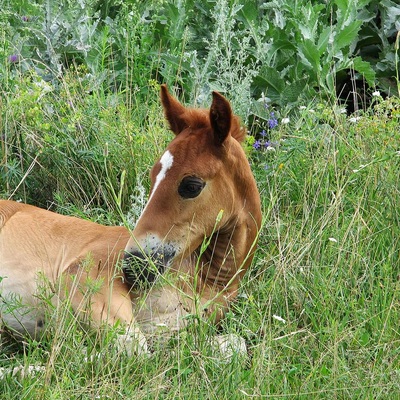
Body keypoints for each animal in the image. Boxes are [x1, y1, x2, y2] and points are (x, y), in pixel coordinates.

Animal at [0, 85, 262, 354]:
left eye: (191, 185)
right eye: (153, 175)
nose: (132, 266)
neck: (203, 280)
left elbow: (233, 344)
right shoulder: (82, 274)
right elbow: (134, 350)